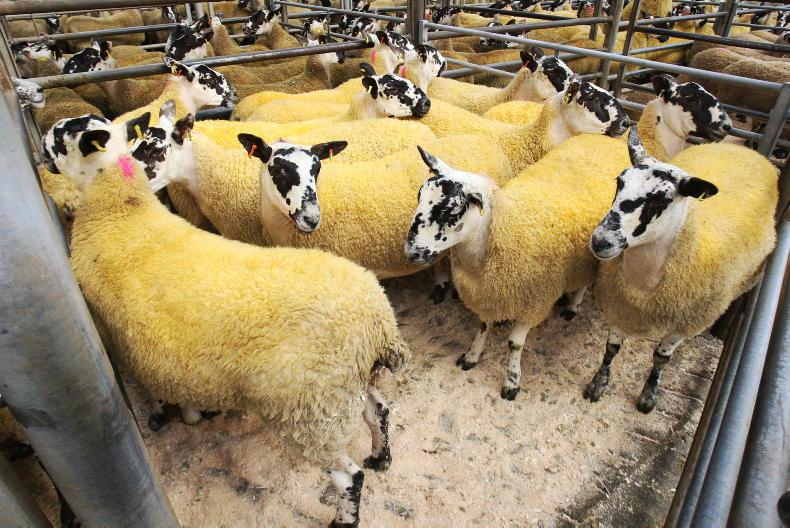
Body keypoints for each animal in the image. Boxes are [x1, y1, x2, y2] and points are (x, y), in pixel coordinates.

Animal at [48, 115, 410, 528]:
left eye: (61, 138)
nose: (43, 146)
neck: (122, 208)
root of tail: (378, 320)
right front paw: (194, 413)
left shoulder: (117, 333)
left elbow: (150, 389)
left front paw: (167, 414)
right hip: (343, 388)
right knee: (379, 412)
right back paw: (381, 458)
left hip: (310, 413)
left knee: (349, 477)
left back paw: (344, 517)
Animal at [402, 134, 632, 400]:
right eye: (419, 197)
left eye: (451, 213)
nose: (411, 252)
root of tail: (607, 139)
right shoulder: (487, 295)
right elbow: (483, 326)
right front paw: (472, 356)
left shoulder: (533, 303)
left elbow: (515, 344)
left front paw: (512, 382)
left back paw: (572, 306)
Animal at [585, 128, 777, 413]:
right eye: (620, 182)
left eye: (662, 199)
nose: (601, 241)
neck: (643, 284)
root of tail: (748, 151)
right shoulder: (620, 307)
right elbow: (611, 348)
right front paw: (599, 383)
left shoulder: (684, 324)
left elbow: (660, 359)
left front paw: (649, 396)